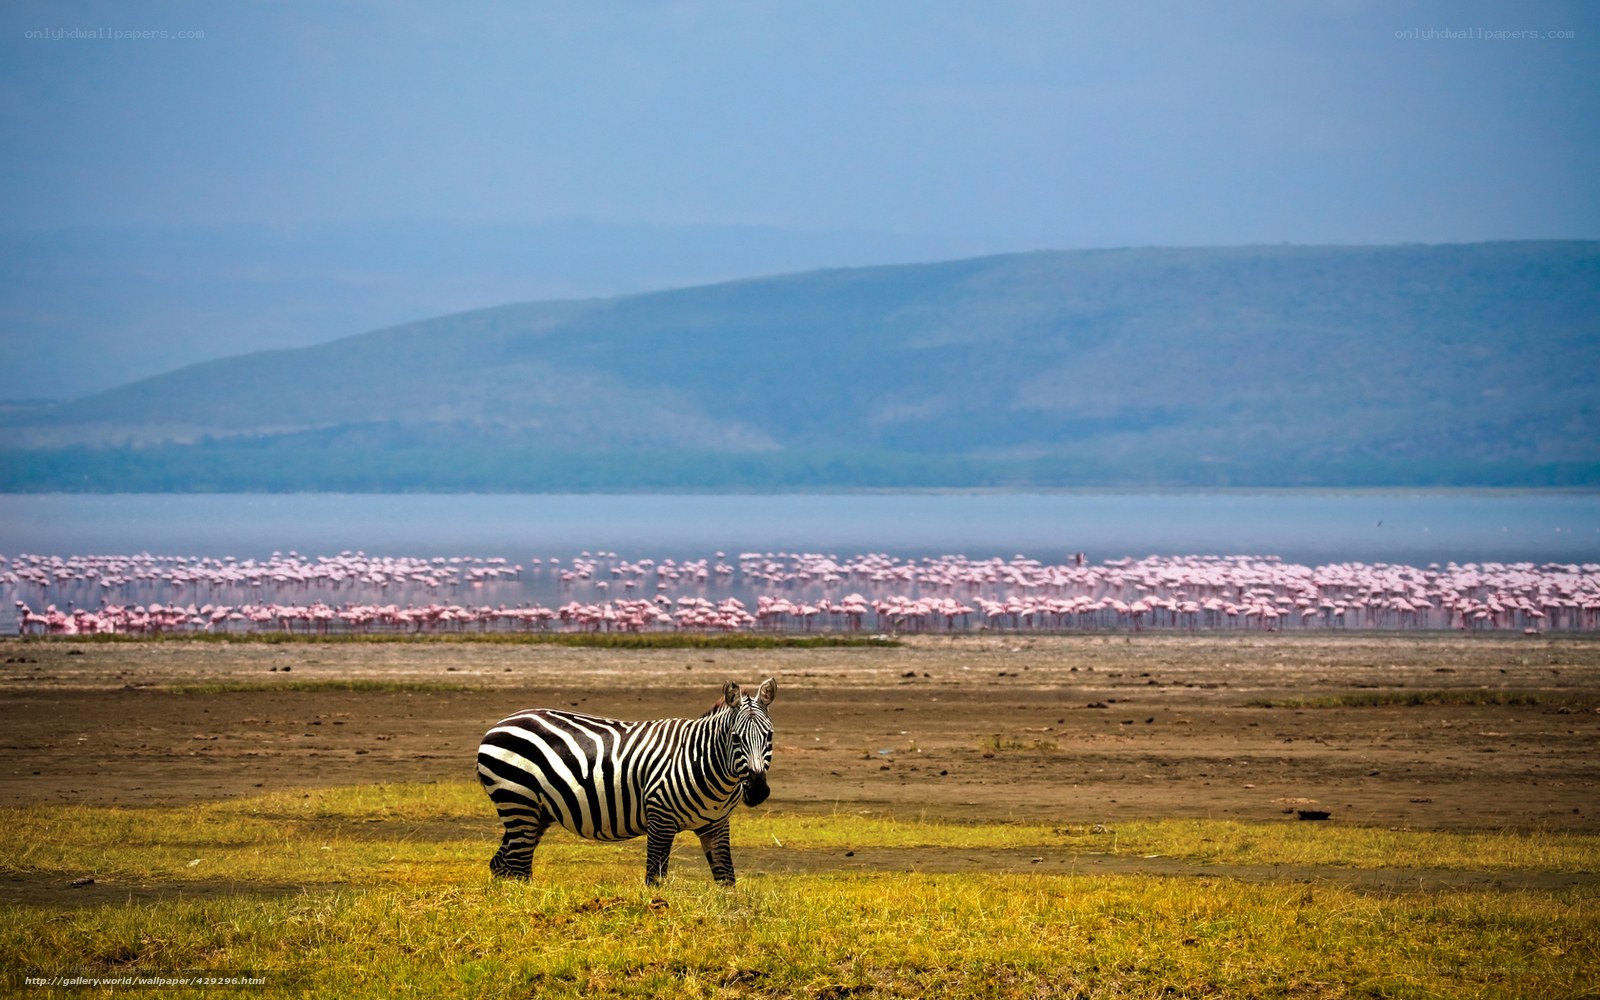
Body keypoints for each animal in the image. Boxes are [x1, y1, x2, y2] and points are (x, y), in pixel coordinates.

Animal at [476, 678, 776, 886]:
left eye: (770, 735)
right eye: (735, 738)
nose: (757, 791)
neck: (703, 763)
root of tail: (499, 724)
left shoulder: (716, 825)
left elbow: (726, 879)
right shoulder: (660, 818)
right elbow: (655, 879)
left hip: (535, 811)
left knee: (502, 863)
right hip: (517, 800)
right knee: (518, 866)